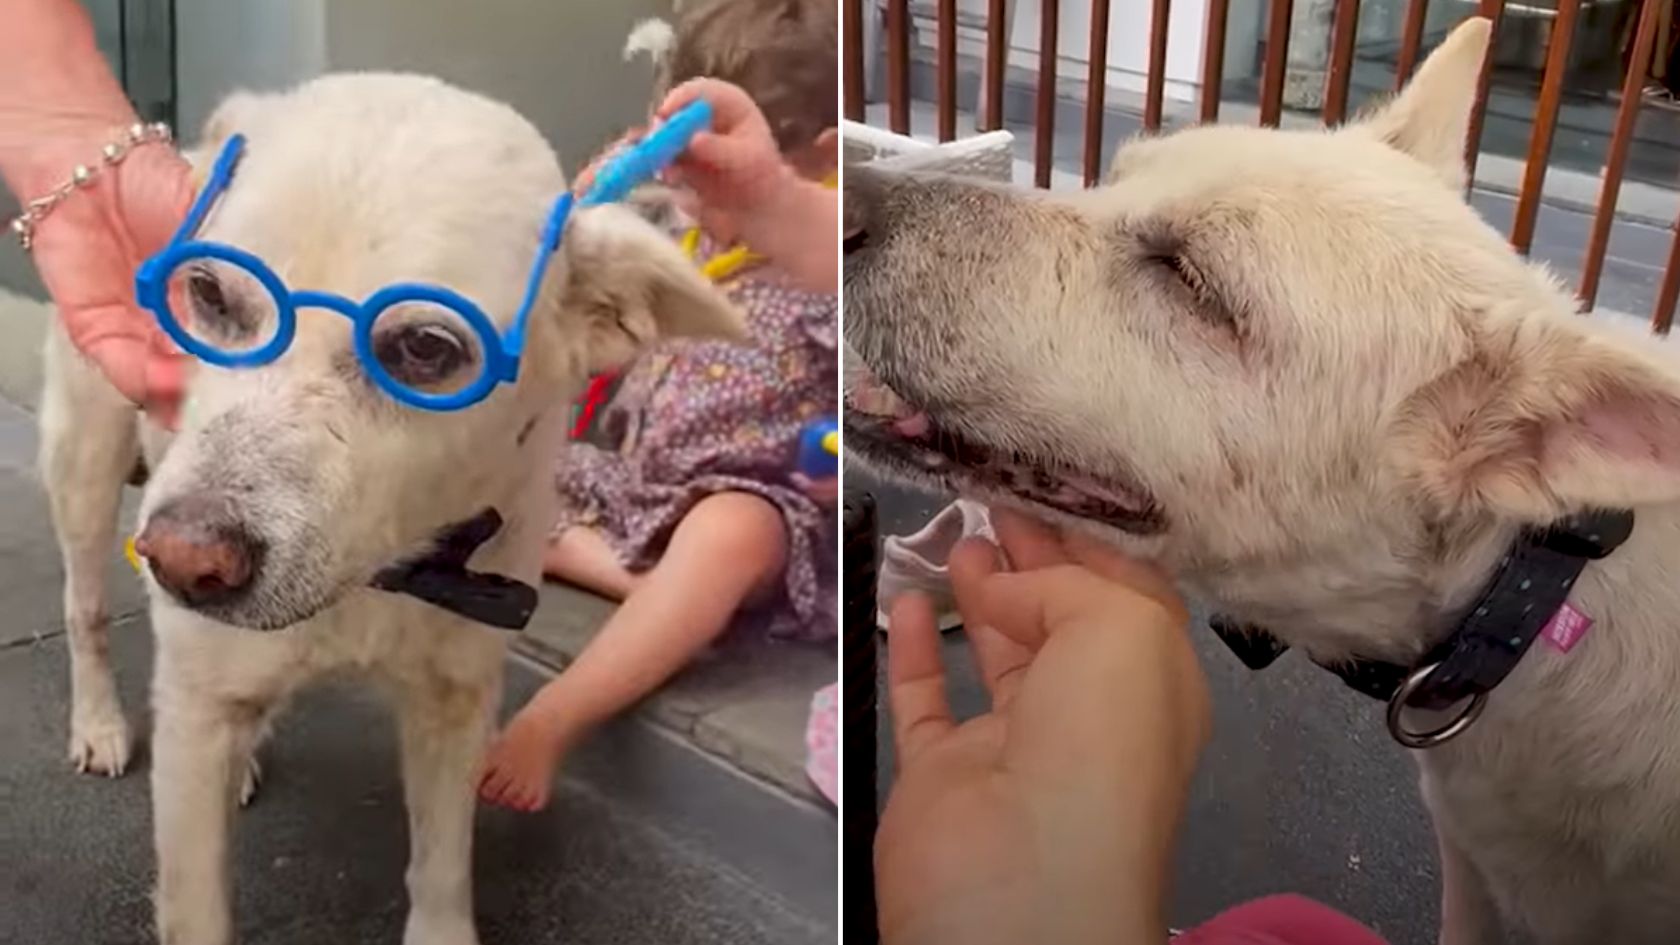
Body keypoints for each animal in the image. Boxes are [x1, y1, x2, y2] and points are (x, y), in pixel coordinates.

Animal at [37, 75, 742, 941]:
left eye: (425, 348)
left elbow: (441, 872)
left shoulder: (456, 704)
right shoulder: (196, 730)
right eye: (207, 292)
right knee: (85, 610)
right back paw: (100, 722)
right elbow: (198, 907)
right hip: (85, 466)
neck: (378, 574)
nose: (181, 560)